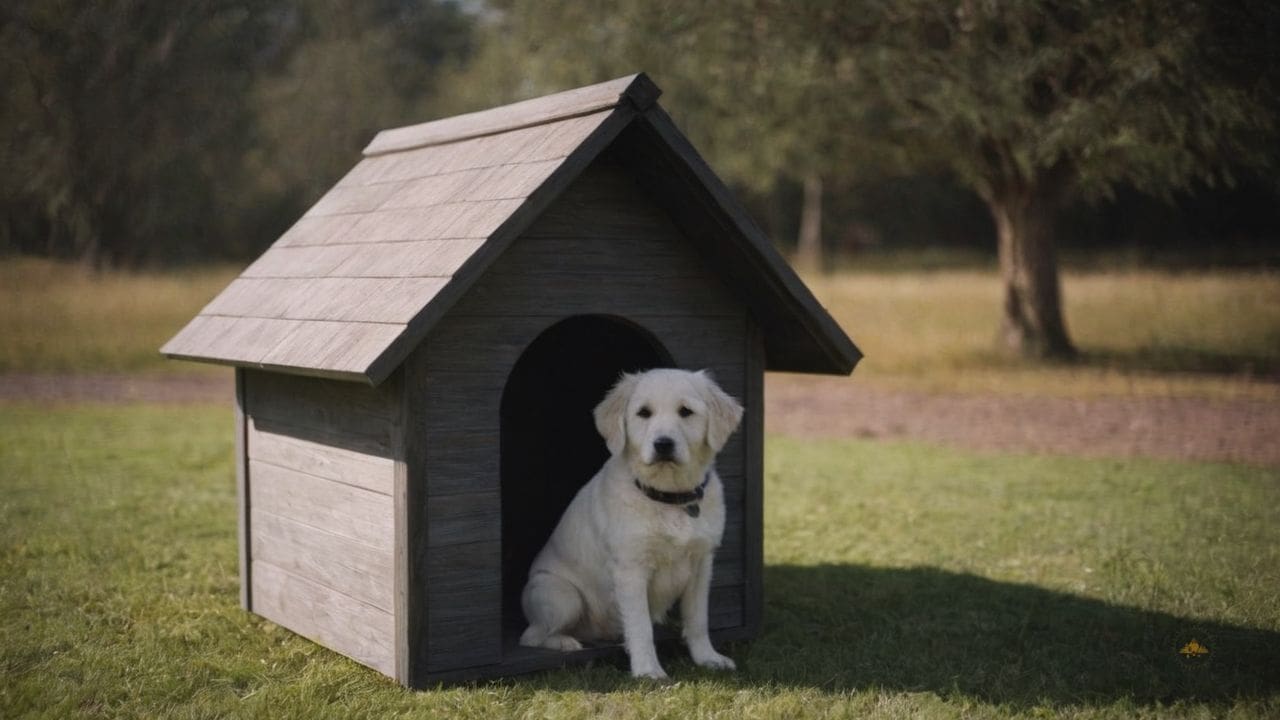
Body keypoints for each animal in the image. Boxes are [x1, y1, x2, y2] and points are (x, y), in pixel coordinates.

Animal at [517, 366, 747, 676]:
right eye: (644, 413)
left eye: (686, 412)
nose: (663, 444)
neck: (669, 498)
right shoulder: (631, 569)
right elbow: (640, 627)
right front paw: (648, 671)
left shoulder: (702, 565)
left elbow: (698, 620)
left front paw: (708, 658)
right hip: (561, 594)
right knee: (531, 636)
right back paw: (566, 642)